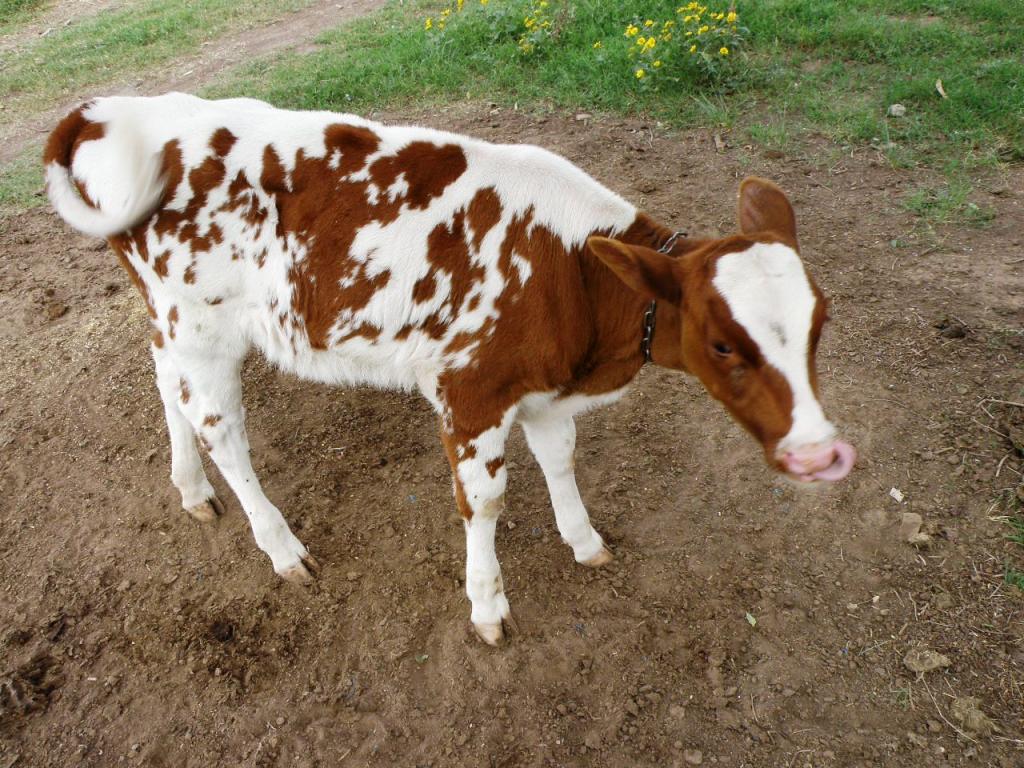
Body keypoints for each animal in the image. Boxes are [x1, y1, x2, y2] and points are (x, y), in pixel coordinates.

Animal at [44, 94, 851, 651]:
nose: (821, 454)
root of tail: (114, 109)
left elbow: (561, 459)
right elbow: (485, 502)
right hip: (202, 323)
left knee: (166, 386)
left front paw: (584, 540)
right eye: (722, 344)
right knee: (222, 431)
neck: (576, 279)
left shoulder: (544, 388)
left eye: (820, 322)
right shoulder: (471, 392)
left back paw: (190, 490)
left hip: (173, 321)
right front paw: (487, 606)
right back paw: (280, 546)